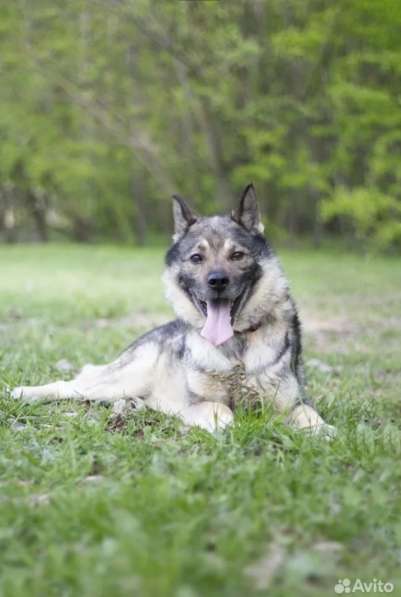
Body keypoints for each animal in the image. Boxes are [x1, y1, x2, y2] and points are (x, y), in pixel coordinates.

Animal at [10, 184, 332, 436]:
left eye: (237, 255)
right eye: (197, 258)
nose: (217, 281)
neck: (236, 352)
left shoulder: (292, 403)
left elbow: (307, 413)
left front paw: (323, 429)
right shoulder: (197, 404)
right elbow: (222, 410)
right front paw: (231, 426)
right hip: (122, 379)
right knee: (71, 385)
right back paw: (26, 392)